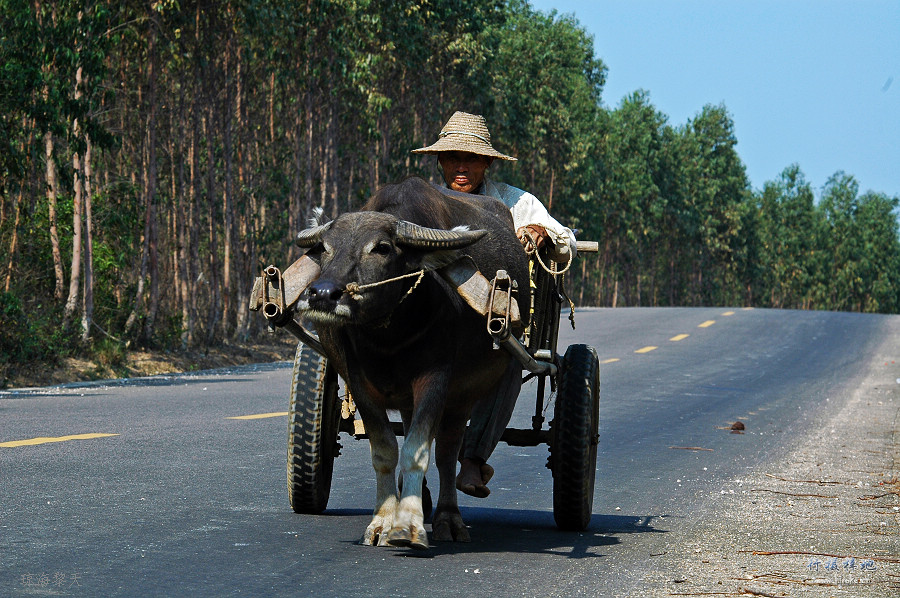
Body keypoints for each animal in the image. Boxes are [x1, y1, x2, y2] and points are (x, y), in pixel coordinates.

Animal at [296, 176, 532, 552]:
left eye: (381, 248)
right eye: (327, 248)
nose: (321, 294)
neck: (390, 335)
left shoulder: (436, 380)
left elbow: (418, 451)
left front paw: (407, 525)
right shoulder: (360, 383)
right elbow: (386, 450)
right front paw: (382, 521)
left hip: (463, 395)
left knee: (448, 452)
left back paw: (448, 517)